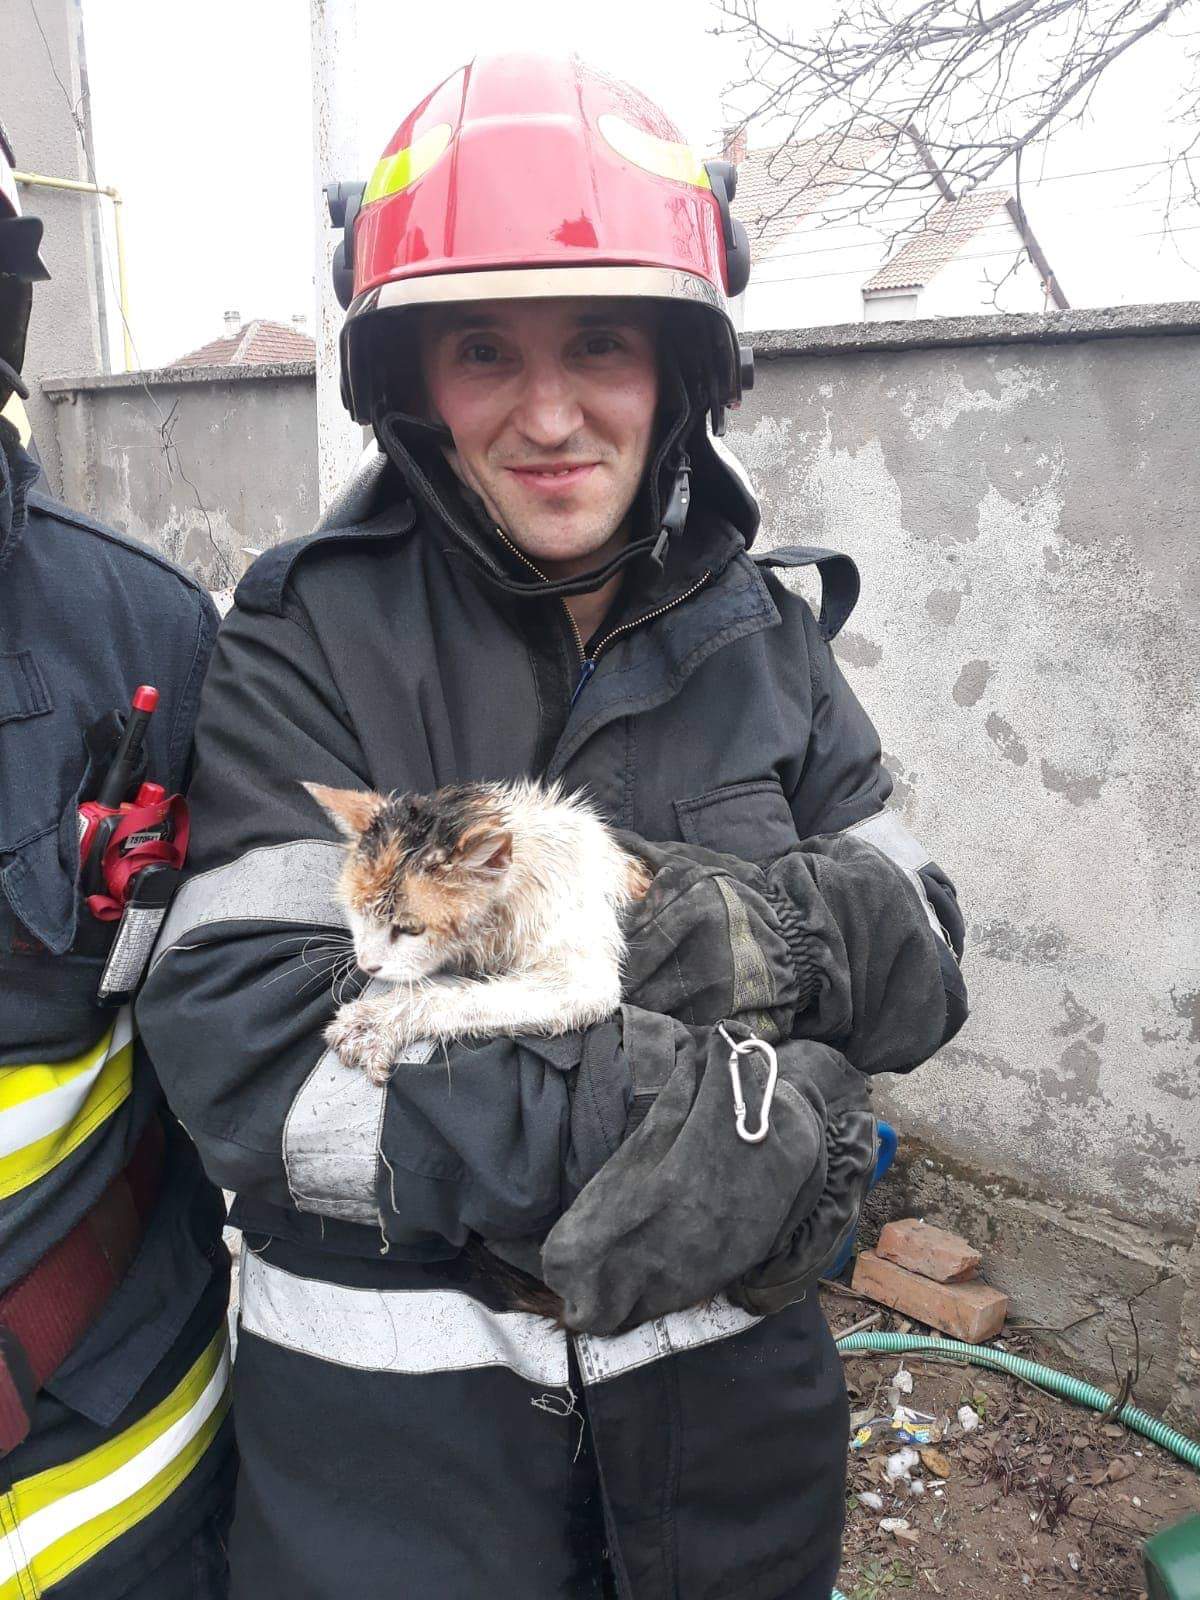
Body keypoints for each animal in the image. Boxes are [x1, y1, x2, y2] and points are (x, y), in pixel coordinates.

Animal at [304, 777, 652, 1083]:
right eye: (357, 911)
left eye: (411, 929)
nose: (366, 965)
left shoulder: (583, 977)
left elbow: (465, 999)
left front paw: (377, 1022)